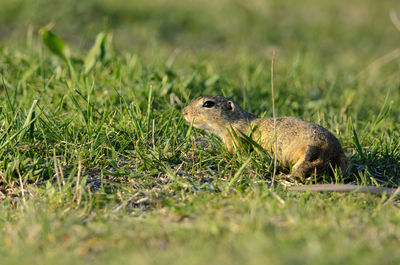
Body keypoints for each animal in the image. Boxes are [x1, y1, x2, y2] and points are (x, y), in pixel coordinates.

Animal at [184, 96, 396, 195]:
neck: (238, 121)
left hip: (307, 151)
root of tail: (333, 151)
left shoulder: (235, 139)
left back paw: (288, 177)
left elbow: (234, 152)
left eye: (208, 103)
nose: (184, 112)